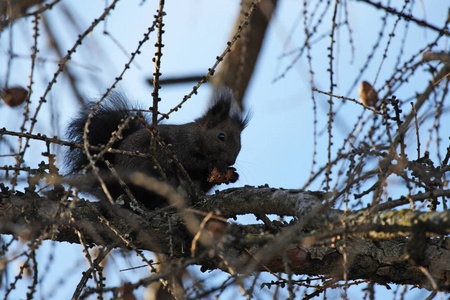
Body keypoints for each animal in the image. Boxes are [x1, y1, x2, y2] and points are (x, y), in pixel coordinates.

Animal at [65, 89, 248, 209]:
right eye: (221, 136)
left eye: (241, 140)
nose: (231, 160)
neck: (198, 136)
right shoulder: (181, 143)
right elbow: (188, 161)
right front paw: (213, 165)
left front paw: (233, 175)